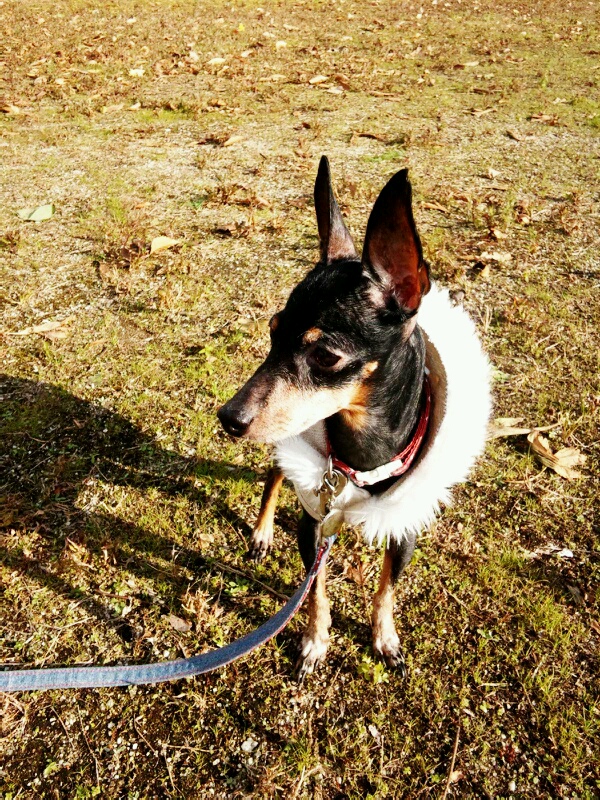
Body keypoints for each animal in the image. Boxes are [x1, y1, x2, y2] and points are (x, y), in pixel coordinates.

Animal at [218, 157, 491, 679]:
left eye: (325, 356)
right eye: (272, 332)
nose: (229, 417)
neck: (362, 455)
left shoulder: (404, 527)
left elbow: (386, 589)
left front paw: (385, 637)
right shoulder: (313, 521)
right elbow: (315, 591)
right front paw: (315, 641)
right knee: (273, 477)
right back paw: (262, 531)